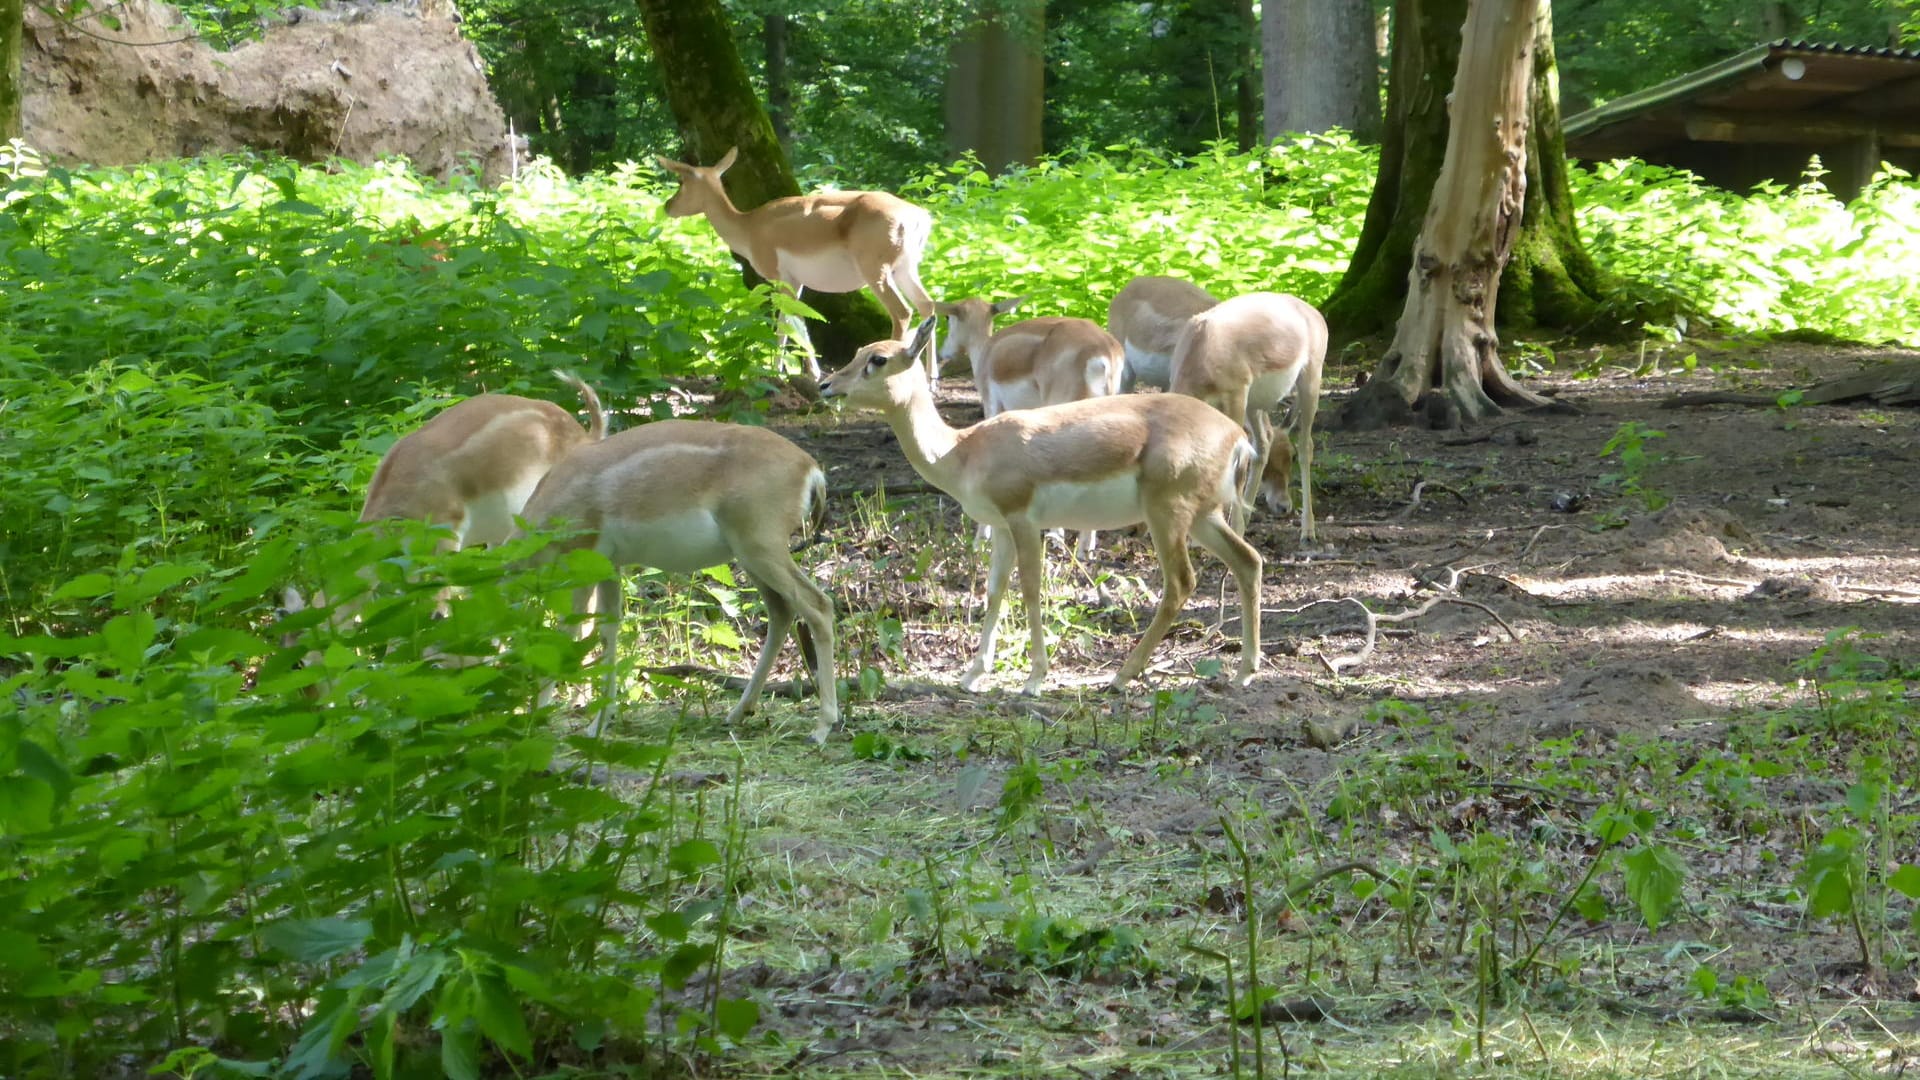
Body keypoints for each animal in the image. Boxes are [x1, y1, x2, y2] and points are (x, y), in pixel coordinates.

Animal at [514, 418, 837, 737]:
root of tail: (812, 470)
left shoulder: (580, 557)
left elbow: (569, 632)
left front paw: (538, 719)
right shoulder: (609, 565)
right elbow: (607, 632)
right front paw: (598, 723)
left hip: (760, 545)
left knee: (818, 605)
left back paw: (822, 726)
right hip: (749, 555)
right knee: (782, 610)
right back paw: (738, 713)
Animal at [652, 147, 936, 382]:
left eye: (681, 181)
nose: (668, 205)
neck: (748, 227)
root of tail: (919, 216)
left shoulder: (779, 278)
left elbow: (784, 321)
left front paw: (775, 370)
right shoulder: (796, 281)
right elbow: (798, 319)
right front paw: (812, 373)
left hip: (877, 272)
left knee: (902, 312)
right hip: (905, 269)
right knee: (928, 306)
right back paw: (931, 377)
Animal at [933, 297, 1121, 557]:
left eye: (948, 317)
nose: (942, 353)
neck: (989, 352)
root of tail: (1102, 351)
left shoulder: (993, 408)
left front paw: (981, 540)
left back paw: (1057, 537)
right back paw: (1085, 549)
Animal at [1159, 290, 1328, 541]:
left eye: (1290, 457)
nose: (1284, 507)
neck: (1204, 346)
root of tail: (1311, 312)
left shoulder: (1235, 399)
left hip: (1308, 383)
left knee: (1306, 446)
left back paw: (1307, 532)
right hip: (1254, 407)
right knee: (1263, 443)